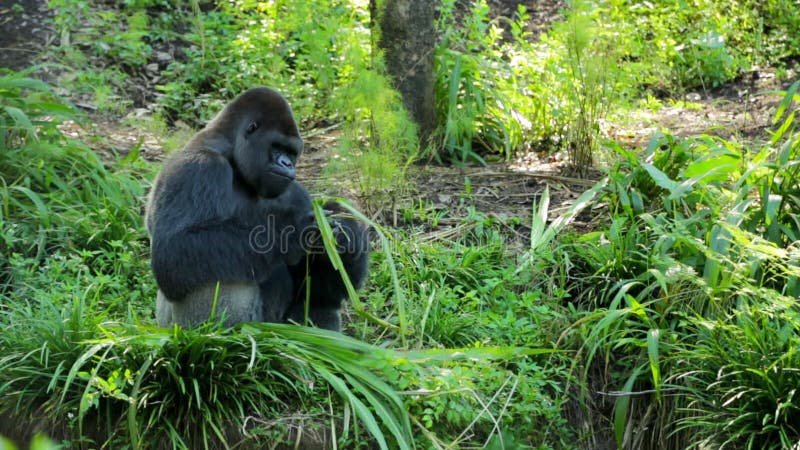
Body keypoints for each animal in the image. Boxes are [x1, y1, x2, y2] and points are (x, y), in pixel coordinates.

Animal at [145, 87, 368, 330]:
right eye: (277, 146)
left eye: (291, 152)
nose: (287, 164)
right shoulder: (198, 168)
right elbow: (174, 250)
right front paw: (288, 232)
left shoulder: (297, 193)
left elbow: (321, 286)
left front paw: (345, 237)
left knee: (321, 301)